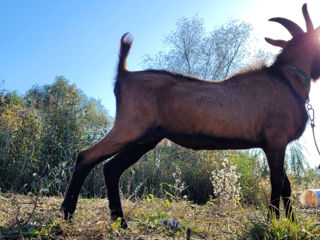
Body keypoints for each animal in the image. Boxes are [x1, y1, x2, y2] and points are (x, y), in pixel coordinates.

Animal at [62, 4, 320, 228]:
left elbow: (286, 186)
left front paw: (294, 224)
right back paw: (68, 214)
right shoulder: (275, 140)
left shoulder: (276, 143)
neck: (287, 80)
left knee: (111, 168)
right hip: (130, 126)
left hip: (145, 138)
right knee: (86, 156)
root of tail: (123, 74)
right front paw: (272, 223)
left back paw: (120, 222)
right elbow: (278, 184)